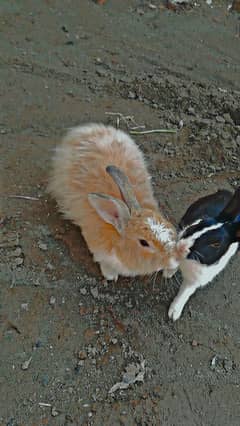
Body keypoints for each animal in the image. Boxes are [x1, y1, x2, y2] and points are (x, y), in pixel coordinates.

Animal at [167, 188, 240, 322]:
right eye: (202, 221)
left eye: (216, 244)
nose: (182, 245)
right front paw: (168, 272)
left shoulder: (196, 279)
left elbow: (185, 292)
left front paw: (174, 313)